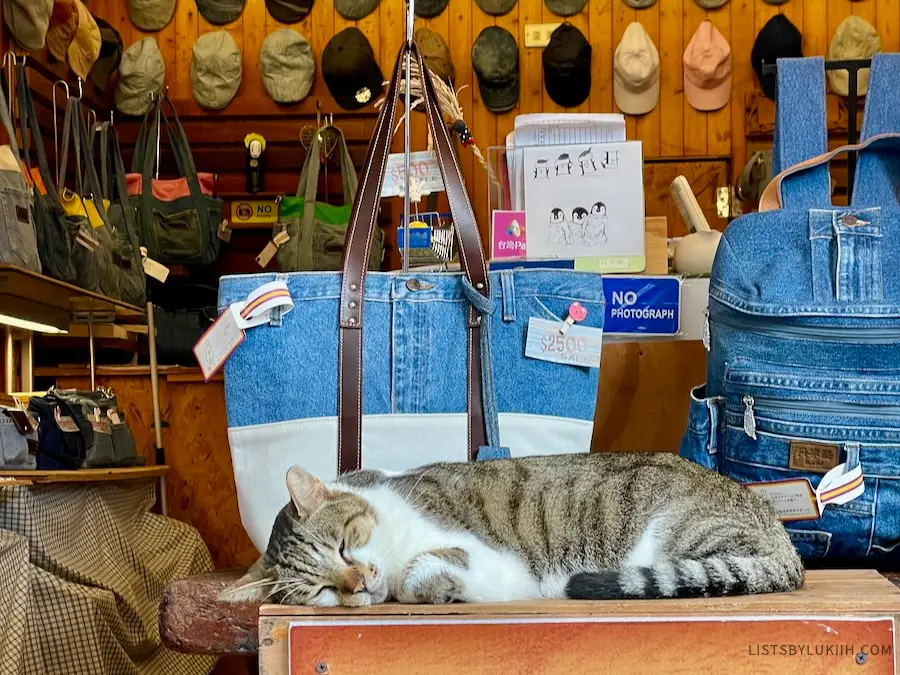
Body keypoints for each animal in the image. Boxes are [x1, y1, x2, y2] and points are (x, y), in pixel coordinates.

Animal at [223, 454, 800, 608]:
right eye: (322, 590)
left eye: (344, 546)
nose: (359, 582)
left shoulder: (500, 562)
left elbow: (418, 572)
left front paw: (433, 585)